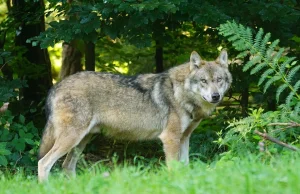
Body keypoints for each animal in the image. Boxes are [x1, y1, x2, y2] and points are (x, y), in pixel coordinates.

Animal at [38, 49, 232, 180]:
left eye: (219, 80)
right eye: (203, 81)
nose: (215, 96)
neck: (180, 92)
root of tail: (56, 87)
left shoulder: (184, 138)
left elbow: (185, 167)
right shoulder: (170, 138)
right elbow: (174, 168)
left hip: (81, 141)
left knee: (67, 166)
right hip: (72, 139)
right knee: (43, 163)